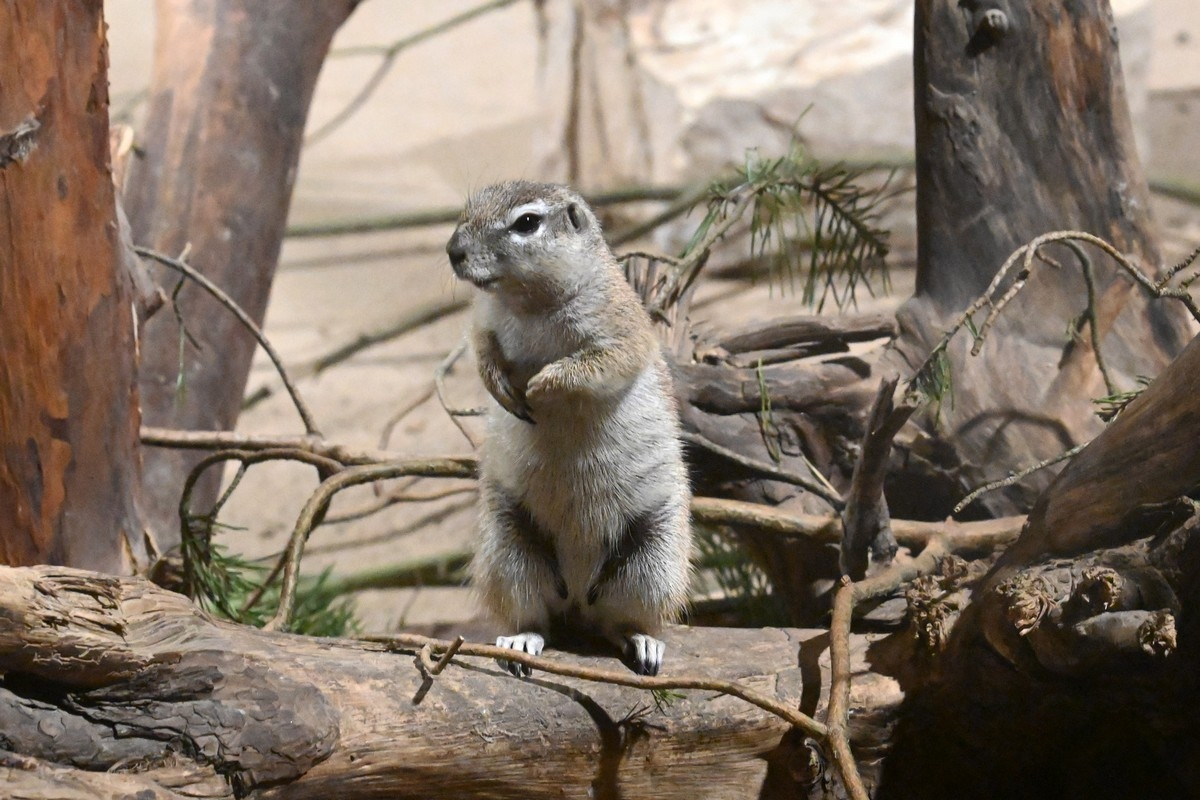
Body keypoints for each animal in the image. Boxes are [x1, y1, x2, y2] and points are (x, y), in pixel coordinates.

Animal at [448, 181, 696, 676]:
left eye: (527, 222)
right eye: (472, 203)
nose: (452, 251)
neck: (530, 302)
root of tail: (579, 597)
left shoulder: (621, 330)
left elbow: (594, 365)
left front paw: (542, 384)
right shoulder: (482, 321)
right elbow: (482, 352)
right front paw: (504, 389)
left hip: (654, 560)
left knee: (618, 623)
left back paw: (643, 642)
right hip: (509, 550)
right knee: (536, 617)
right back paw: (521, 641)